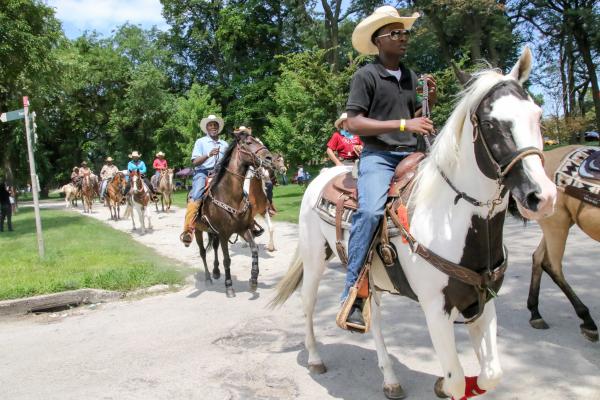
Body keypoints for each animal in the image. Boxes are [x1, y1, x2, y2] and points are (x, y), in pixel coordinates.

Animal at [195, 130, 272, 296]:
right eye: (249, 143)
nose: (269, 158)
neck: (230, 196)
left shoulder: (243, 229)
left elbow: (254, 250)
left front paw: (253, 280)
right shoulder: (224, 234)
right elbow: (227, 259)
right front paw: (229, 286)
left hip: (213, 232)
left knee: (214, 248)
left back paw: (216, 272)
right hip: (198, 230)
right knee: (203, 252)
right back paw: (208, 278)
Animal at [272, 48, 556, 398]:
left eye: (537, 115)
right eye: (490, 123)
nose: (542, 196)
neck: (450, 219)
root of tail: (321, 176)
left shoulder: (481, 300)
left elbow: (491, 374)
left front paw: (444, 383)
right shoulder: (435, 308)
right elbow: (457, 378)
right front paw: (446, 384)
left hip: (372, 278)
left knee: (375, 318)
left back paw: (390, 378)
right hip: (314, 259)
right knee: (309, 304)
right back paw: (315, 358)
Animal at [524, 145, 600, 342]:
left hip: (560, 222)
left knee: (538, 258)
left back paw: (535, 314)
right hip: (556, 223)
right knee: (552, 265)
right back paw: (588, 322)